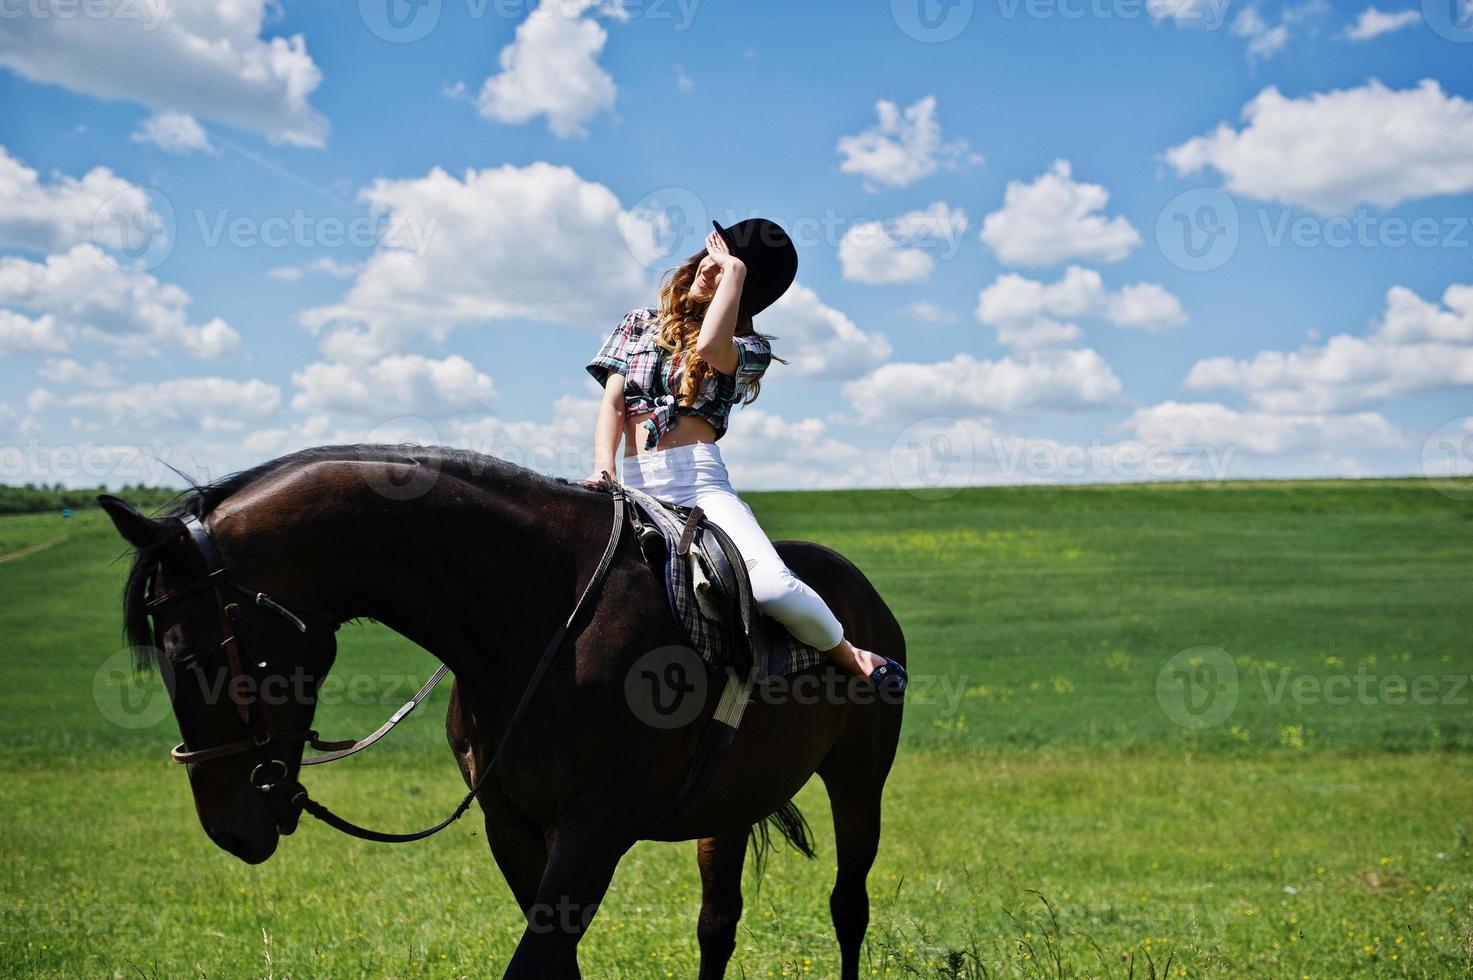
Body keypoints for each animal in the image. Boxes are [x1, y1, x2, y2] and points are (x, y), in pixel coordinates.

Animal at [97, 445, 901, 978]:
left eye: (188, 658)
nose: (227, 829)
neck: (542, 613)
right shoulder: (509, 826)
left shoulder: (596, 826)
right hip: (730, 806)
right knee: (717, 923)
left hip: (859, 782)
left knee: (847, 906)